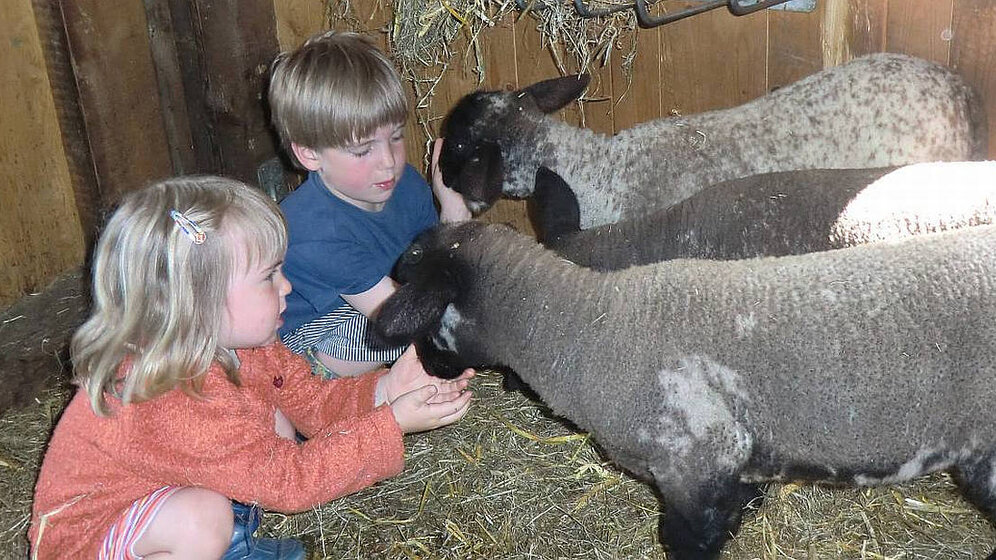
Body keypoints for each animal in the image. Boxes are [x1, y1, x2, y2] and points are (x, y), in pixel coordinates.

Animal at [378, 221, 996, 560]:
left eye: (426, 316)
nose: (428, 367)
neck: (587, 327)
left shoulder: (695, 458)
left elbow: (688, 540)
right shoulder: (731, 466)